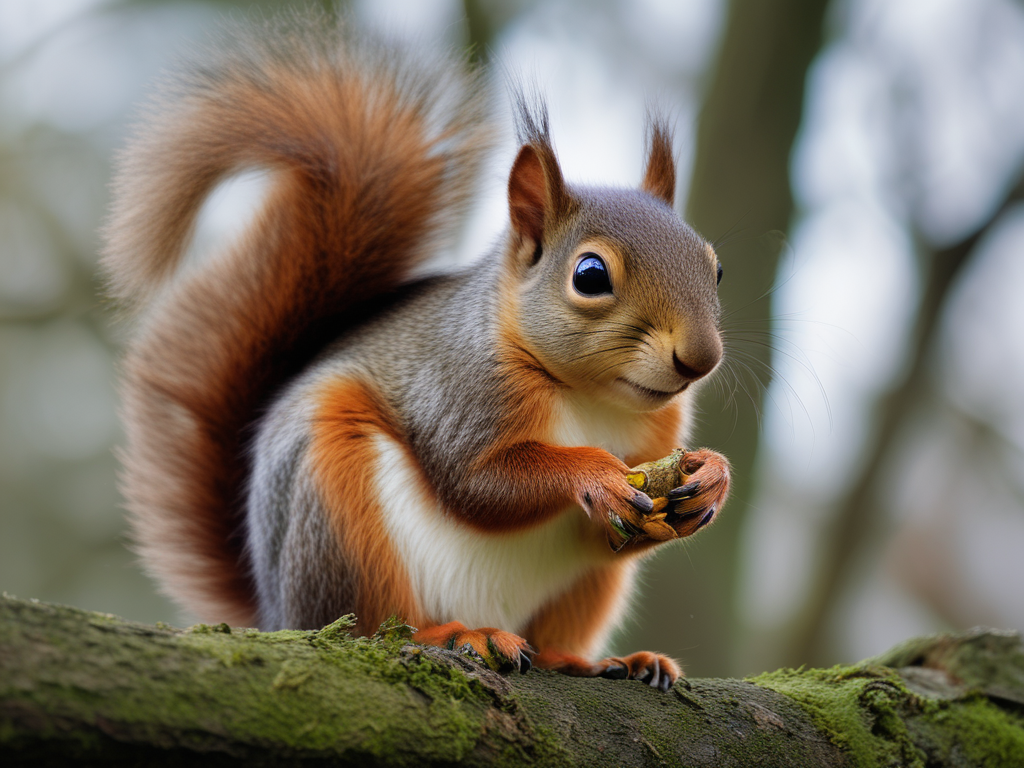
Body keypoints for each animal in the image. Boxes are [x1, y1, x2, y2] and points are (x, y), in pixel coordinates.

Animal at [101, 12, 729, 696]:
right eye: (590, 275)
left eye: (716, 267)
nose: (700, 359)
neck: (590, 397)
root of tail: (276, 610)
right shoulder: (457, 387)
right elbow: (476, 481)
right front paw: (593, 474)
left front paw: (711, 478)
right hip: (337, 514)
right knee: (366, 627)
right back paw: (455, 635)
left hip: (582, 590)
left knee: (559, 634)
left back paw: (599, 661)